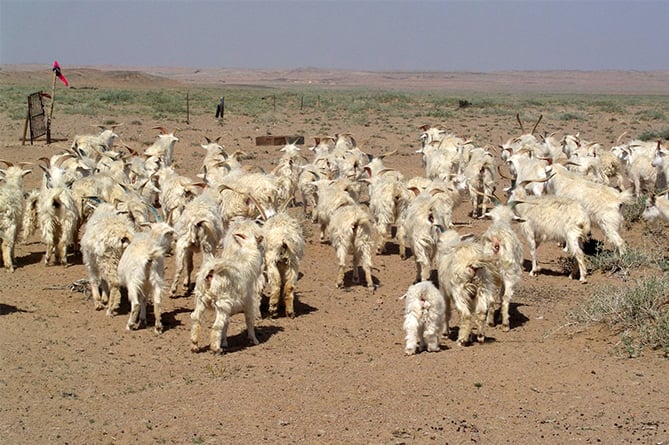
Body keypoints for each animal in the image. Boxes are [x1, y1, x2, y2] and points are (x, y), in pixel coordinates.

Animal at [189, 217, 264, 352]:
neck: (247, 260)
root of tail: (211, 272)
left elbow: (226, 324)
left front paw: (224, 342)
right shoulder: (250, 301)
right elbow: (249, 320)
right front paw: (254, 340)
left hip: (201, 299)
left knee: (196, 318)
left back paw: (194, 345)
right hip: (221, 302)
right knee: (216, 325)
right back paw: (216, 348)